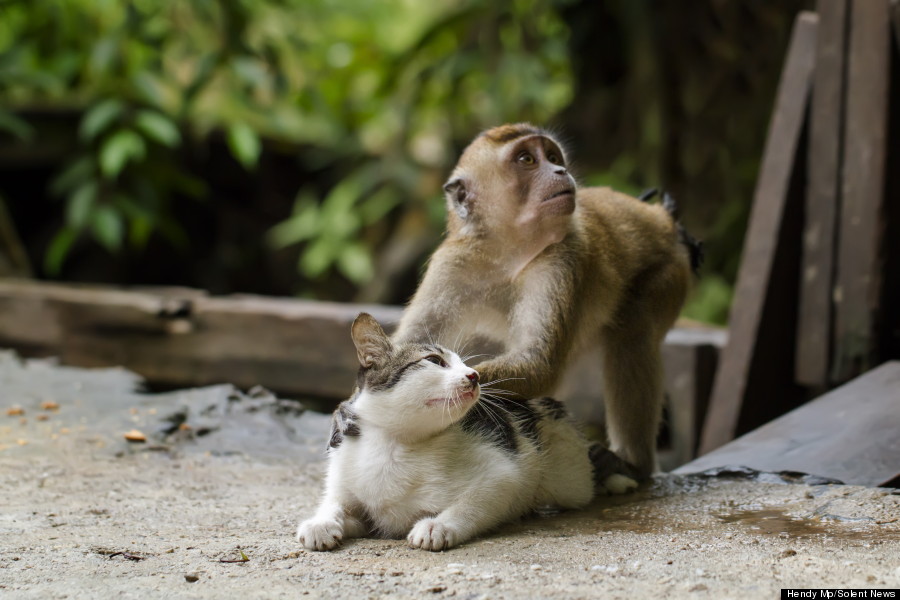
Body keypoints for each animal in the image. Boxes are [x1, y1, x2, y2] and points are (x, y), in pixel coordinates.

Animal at [296, 314, 632, 552]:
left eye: (464, 365)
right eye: (434, 361)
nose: (475, 375)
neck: (394, 443)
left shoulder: (503, 473)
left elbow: (476, 500)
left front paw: (437, 526)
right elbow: (336, 503)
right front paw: (321, 522)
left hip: (567, 478)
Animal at [394, 124, 696, 480]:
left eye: (552, 157)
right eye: (527, 159)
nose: (560, 171)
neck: (507, 251)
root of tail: (662, 219)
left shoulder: (563, 257)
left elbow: (539, 364)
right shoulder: (452, 262)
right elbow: (411, 345)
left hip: (671, 271)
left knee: (634, 332)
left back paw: (632, 463)